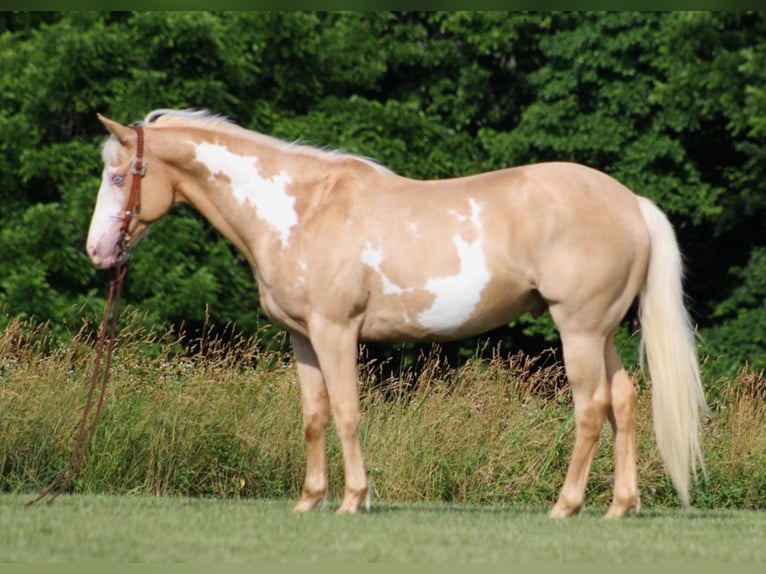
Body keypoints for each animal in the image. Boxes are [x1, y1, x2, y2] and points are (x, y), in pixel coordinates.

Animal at [85, 109, 708, 520]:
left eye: (119, 176)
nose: (97, 252)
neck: (300, 211)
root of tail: (631, 203)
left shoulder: (336, 331)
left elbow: (346, 413)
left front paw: (352, 500)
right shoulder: (302, 339)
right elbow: (313, 416)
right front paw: (309, 500)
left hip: (577, 330)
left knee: (591, 407)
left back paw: (565, 506)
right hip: (599, 333)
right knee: (623, 401)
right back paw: (619, 508)